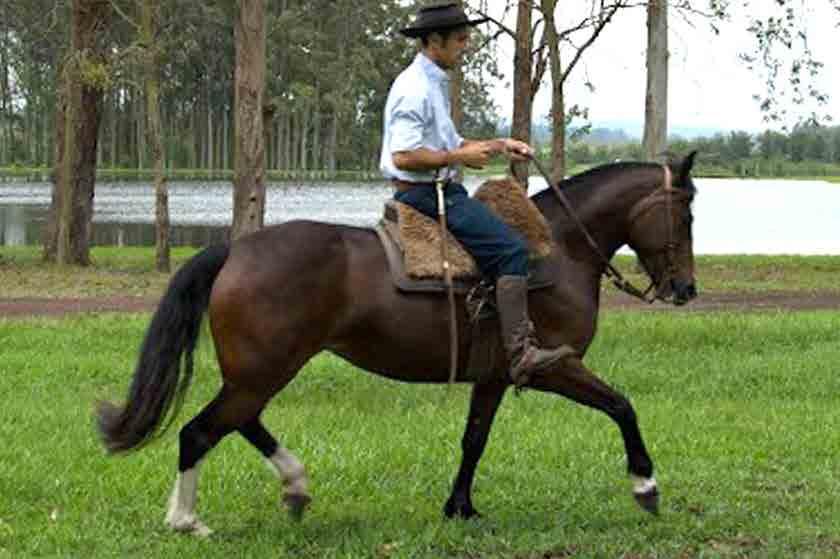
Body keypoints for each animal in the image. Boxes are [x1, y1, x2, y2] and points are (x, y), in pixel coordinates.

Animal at [98, 152, 700, 532]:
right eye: (687, 215)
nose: (686, 289)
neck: (559, 249)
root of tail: (236, 250)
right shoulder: (552, 366)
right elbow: (622, 406)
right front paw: (645, 485)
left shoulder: (492, 376)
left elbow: (474, 440)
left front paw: (460, 508)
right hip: (262, 371)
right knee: (200, 432)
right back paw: (187, 520)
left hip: (258, 372)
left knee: (239, 423)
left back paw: (294, 486)